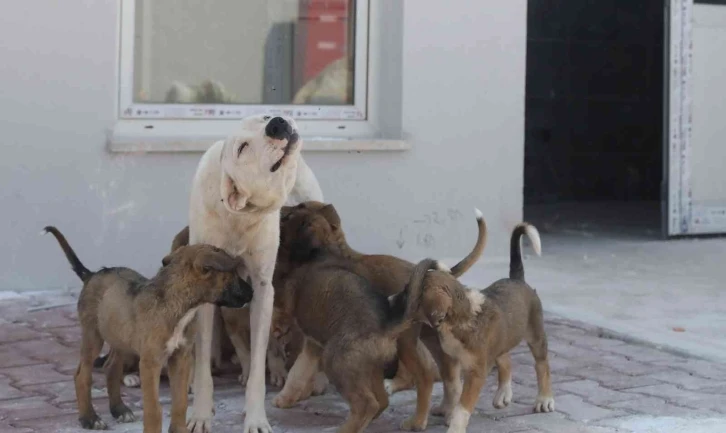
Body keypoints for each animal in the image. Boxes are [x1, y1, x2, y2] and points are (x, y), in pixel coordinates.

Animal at [44, 226, 256, 432]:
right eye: (234, 274)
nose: (252, 293)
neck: (178, 305)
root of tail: (92, 275)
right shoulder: (150, 362)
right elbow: (154, 408)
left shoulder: (181, 358)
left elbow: (180, 402)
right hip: (93, 336)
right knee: (82, 375)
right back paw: (89, 418)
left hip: (120, 338)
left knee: (111, 368)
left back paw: (119, 410)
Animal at [186, 115, 320, 432]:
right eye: (242, 148)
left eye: (262, 118)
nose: (277, 123)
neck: (238, 215)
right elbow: (202, 363)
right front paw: (200, 413)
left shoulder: (262, 287)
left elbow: (260, 361)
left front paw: (256, 417)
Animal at [406, 223, 556, 432]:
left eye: (413, 293)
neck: (459, 318)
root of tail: (517, 279)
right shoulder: (451, 359)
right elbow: (452, 388)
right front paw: (448, 412)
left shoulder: (476, 371)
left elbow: (462, 406)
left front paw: (454, 426)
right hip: (500, 341)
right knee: (506, 360)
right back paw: (503, 393)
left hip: (535, 334)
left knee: (542, 365)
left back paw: (544, 399)